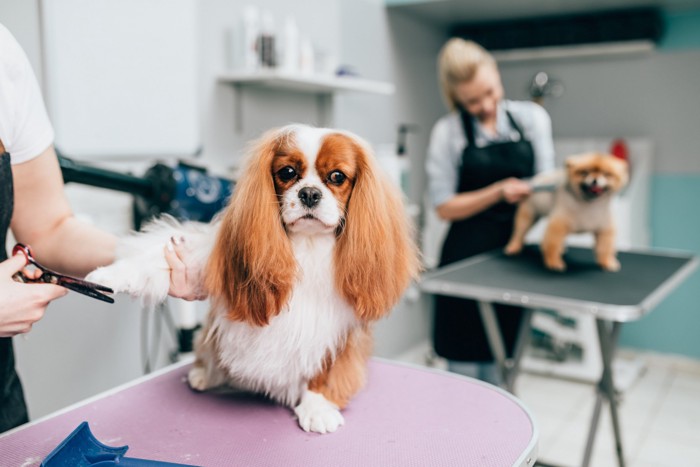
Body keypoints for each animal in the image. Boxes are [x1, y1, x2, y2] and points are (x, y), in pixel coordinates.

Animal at [85, 125, 418, 436]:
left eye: (337, 176)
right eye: (287, 173)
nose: (310, 193)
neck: (307, 244)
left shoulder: (341, 327)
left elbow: (327, 367)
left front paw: (318, 405)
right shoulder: (210, 256)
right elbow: (154, 256)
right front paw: (109, 274)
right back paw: (206, 373)